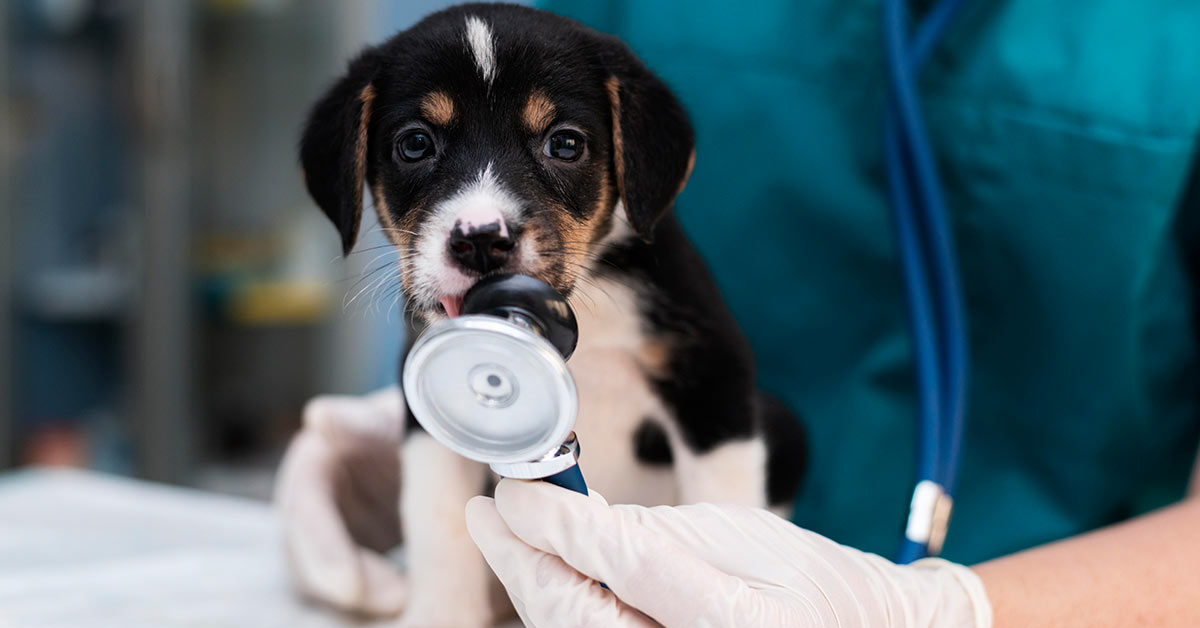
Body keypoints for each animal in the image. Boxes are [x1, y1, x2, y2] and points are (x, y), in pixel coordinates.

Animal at [298, 3, 806, 624]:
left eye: (565, 144)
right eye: (415, 144)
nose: (481, 241)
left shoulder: (712, 380)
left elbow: (722, 508)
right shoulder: (425, 414)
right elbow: (441, 537)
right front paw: (443, 612)